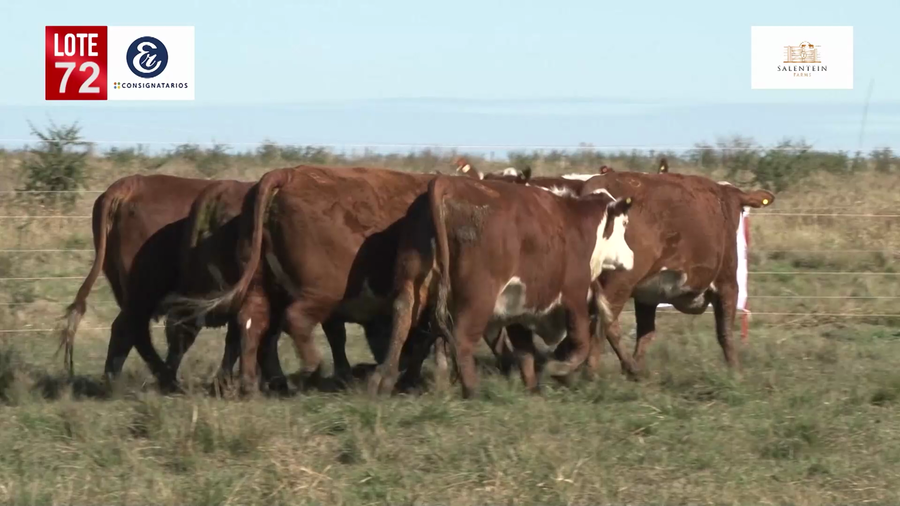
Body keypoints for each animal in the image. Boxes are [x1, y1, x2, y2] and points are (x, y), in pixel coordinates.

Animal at [367, 175, 635, 398]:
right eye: (623, 225)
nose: (631, 256)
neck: (578, 226)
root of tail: (447, 182)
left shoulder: (520, 308)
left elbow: (525, 352)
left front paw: (533, 389)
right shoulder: (574, 298)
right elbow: (580, 344)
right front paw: (556, 368)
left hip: (412, 284)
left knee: (401, 321)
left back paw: (383, 382)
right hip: (478, 299)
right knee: (462, 340)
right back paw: (472, 391)